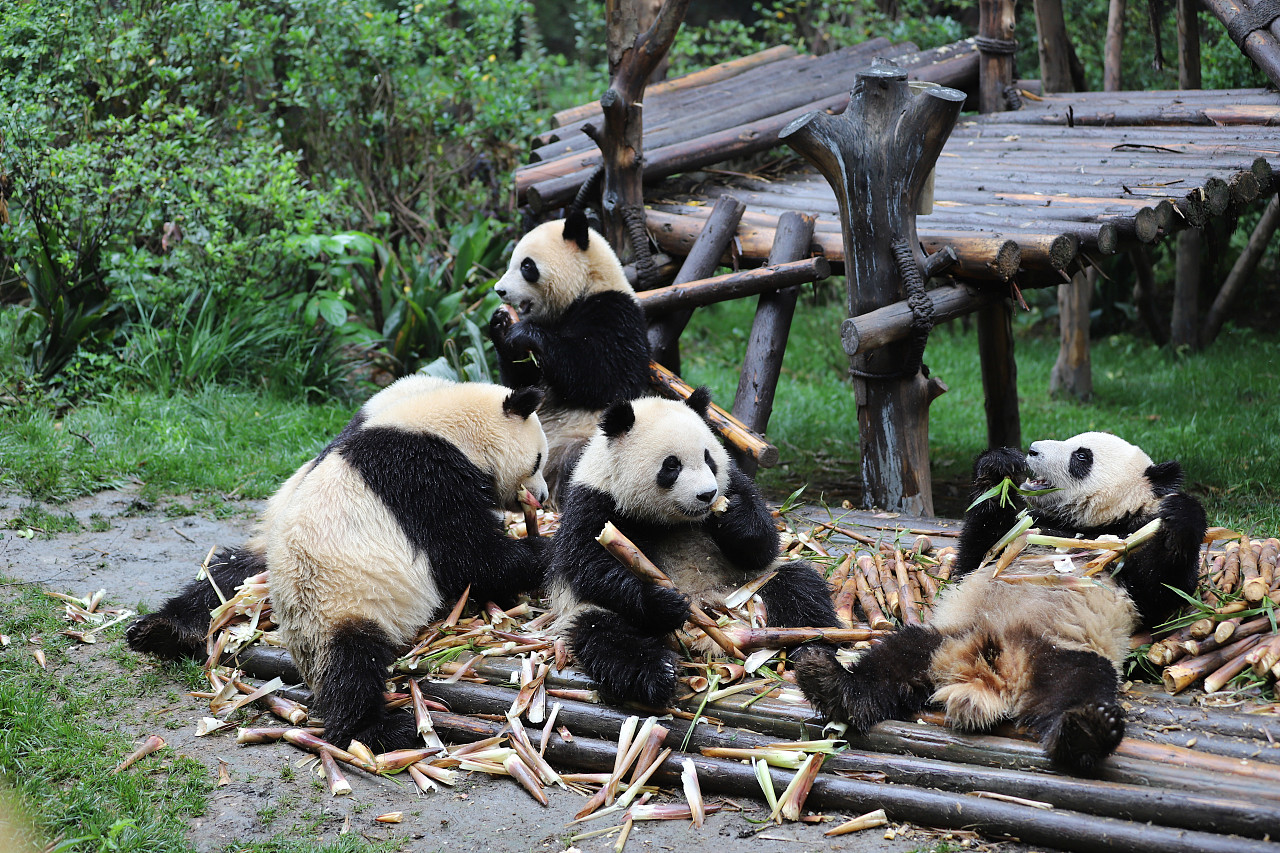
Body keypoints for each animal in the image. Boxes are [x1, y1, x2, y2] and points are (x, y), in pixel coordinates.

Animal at [126, 376, 550, 747]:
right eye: (539, 460)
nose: (544, 497)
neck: (446, 426)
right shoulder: (423, 479)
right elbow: (471, 555)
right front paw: (541, 551)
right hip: (340, 600)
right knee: (350, 665)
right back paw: (380, 729)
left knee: (221, 578)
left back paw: (160, 630)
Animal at [486, 207, 655, 499]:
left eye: (527, 266)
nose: (499, 290)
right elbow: (523, 385)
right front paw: (501, 324)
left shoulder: (617, 314)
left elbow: (604, 374)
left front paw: (526, 333)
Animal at [547, 386, 839, 701]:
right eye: (672, 465)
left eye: (709, 458)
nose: (708, 494)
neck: (674, 520)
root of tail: (711, 611)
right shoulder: (594, 502)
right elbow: (591, 566)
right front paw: (663, 601)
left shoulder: (733, 482)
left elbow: (763, 546)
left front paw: (734, 517)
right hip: (594, 613)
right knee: (606, 634)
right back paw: (658, 672)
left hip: (748, 586)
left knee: (799, 588)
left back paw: (816, 652)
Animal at [793, 432, 1203, 768]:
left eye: (1082, 456)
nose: (1033, 450)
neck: (1077, 526)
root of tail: (993, 673)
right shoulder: (1017, 534)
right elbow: (976, 552)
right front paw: (999, 466)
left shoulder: (1127, 544)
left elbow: (1162, 597)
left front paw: (1181, 513)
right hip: (947, 634)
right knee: (896, 657)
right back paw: (829, 681)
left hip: (1064, 652)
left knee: (1078, 685)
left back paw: (1087, 729)